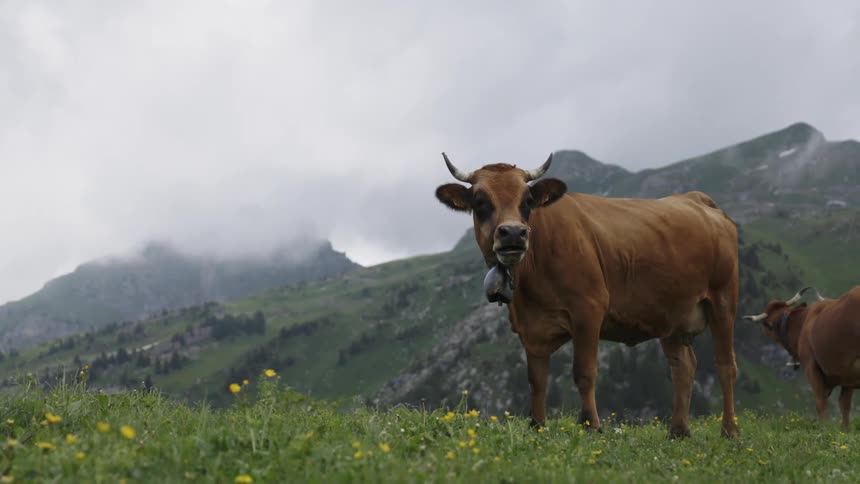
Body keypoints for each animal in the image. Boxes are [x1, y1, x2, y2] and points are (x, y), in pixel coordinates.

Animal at [434, 152, 741, 439]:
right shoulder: (530, 327)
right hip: (671, 315)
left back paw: (729, 430)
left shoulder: (588, 310)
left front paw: (592, 426)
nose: (513, 233)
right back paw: (677, 431)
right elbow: (536, 380)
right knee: (683, 367)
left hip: (723, 300)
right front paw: (537, 426)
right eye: (480, 201)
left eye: (528, 200)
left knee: (726, 365)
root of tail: (697, 199)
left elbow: (584, 373)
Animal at [743, 286, 860, 429]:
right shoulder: (847, 375)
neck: (804, 321)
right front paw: (845, 429)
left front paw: (825, 429)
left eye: (768, 325)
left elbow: (821, 402)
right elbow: (845, 405)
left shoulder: (811, 366)